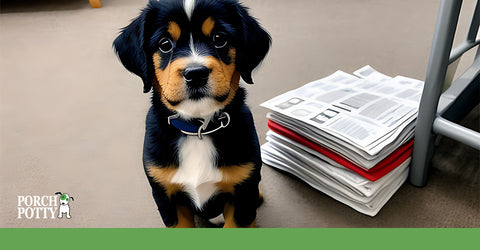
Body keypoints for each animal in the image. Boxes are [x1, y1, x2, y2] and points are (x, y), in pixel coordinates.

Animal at [113, 0, 270, 228]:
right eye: (165, 44)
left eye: (219, 38)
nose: (195, 74)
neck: (198, 130)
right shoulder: (168, 197)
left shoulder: (241, 196)